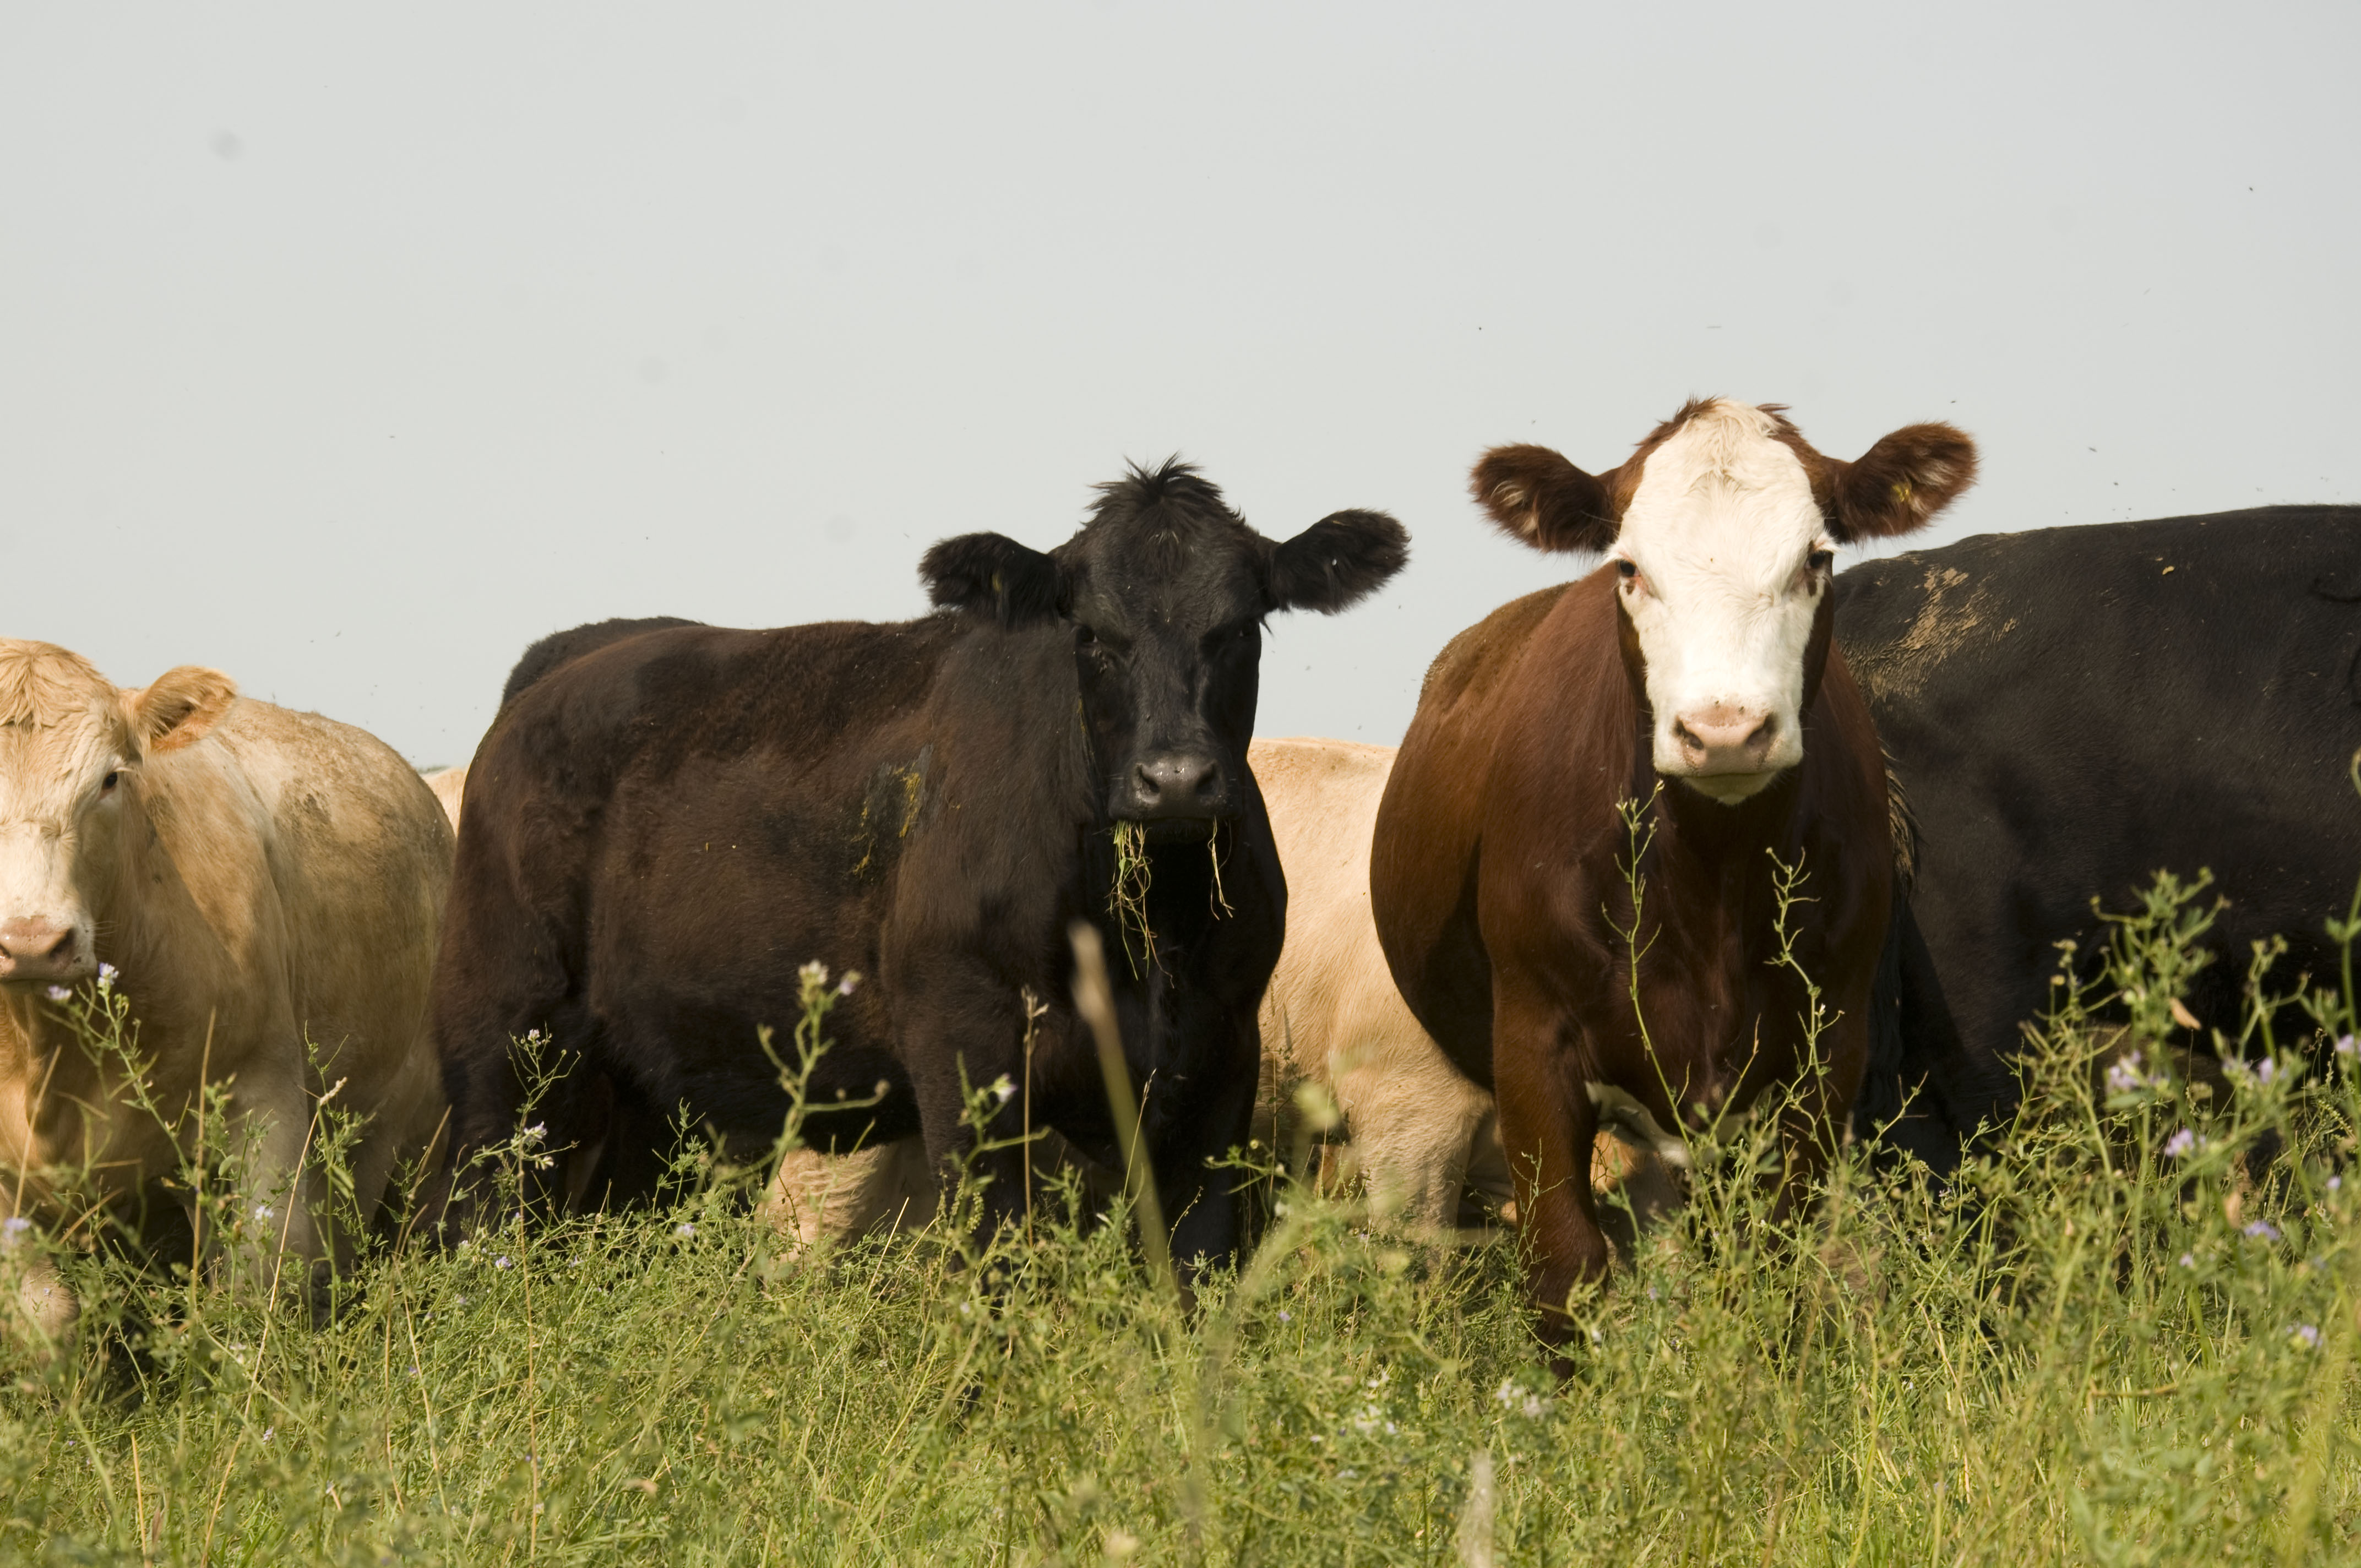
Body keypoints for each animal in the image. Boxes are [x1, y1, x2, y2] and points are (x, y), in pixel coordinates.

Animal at [0, 642, 452, 1342]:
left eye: (110, 779)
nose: (30, 940)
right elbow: (44, 1315)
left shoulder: (263, 1096)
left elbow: (259, 1285)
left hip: (402, 1117)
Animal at [428, 461, 1407, 1279]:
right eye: (1091, 634)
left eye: (1239, 628)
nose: (1173, 780)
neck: (1143, 928)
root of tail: (567, 664)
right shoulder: (964, 1048)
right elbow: (997, 1265)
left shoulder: (1220, 1054)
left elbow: (1200, 1263)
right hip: (506, 1042)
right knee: (484, 1217)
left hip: (652, 1087)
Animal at [1370, 398, 1977, 1344]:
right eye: (1629, 568)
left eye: (1816, 560)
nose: (1724, 730)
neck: (1708, 886)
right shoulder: (1532, 1046)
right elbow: (1567, 1271)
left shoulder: (1825, 1053)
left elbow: (1775, 1266)